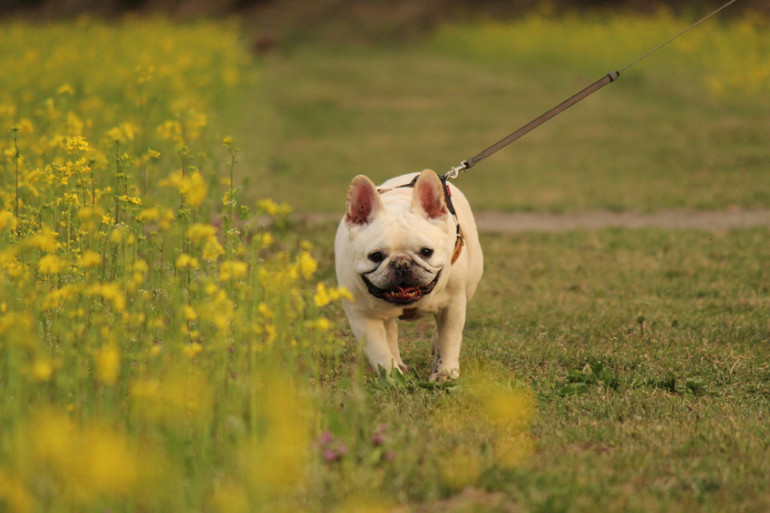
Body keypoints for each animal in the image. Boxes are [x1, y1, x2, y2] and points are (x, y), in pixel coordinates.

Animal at [334, 169, 480, 380]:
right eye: (375, 256)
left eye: (426, 252)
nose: (402, 264)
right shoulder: (361, 316)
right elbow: (379, 350)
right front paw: (392, 375)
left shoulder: (453, 305)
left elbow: (449, 340)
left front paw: (445, 374)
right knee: (390, 331)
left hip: (469, 286)